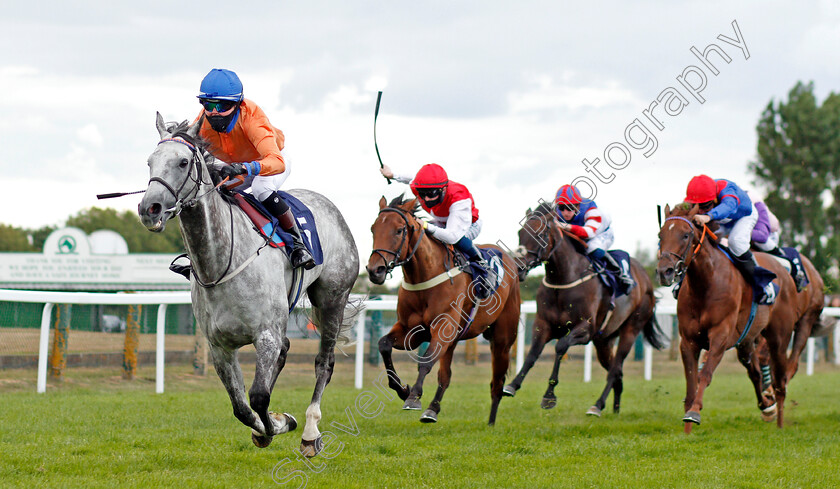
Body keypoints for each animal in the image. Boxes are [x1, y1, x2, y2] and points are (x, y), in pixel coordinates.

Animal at [139, 112, 360, 456]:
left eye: (183, 162)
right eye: (150, 162)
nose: (150, 209)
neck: (220, 263)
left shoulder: (265, 334)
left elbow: (258, 396)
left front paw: (280, 424)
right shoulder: (219, 346)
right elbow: (242, 406)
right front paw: (267, 426)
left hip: (332, 297)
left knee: (324, 363)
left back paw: (310, 432)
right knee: (285, 353)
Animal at [366, 194, 520, 424]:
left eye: (399, 230)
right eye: (373, 229)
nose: (375, 270)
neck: (425, 276)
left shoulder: (443, 326)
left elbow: (425, 361)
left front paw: (413, 397)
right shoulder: (412, 331)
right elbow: (384, 344)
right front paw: (402, 389)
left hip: (502, 338)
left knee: (497, 381)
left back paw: (491, 423)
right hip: (454, 338)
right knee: (446, 376)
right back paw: (432, 410)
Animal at [498, 202, 664, 416]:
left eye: (541, 234)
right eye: (521, 232)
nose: (518, 268)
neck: (563, 279)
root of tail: (647, 280)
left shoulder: (585, 329)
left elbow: (560, 347)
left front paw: (549, 396)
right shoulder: (543, 324)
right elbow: (533, 353)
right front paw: (512, 385)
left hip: (630, 330)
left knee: (615, 368)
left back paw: (597, 405)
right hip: (603, 341)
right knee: (616, 370)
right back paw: (615, 408)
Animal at [652, 202, 804, 430]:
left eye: (686, 235)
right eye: (661, 235)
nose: (665, 272)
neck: (706, 284)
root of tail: (784, 272)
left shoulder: (720, 336)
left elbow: (705, 374)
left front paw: (694, 413)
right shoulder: (688, 340)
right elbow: (691, 380)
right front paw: (687, 424)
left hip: (779, 338)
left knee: (780, 382)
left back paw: (779, 422)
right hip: (747, 340)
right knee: (755, 372)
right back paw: (767, 408)